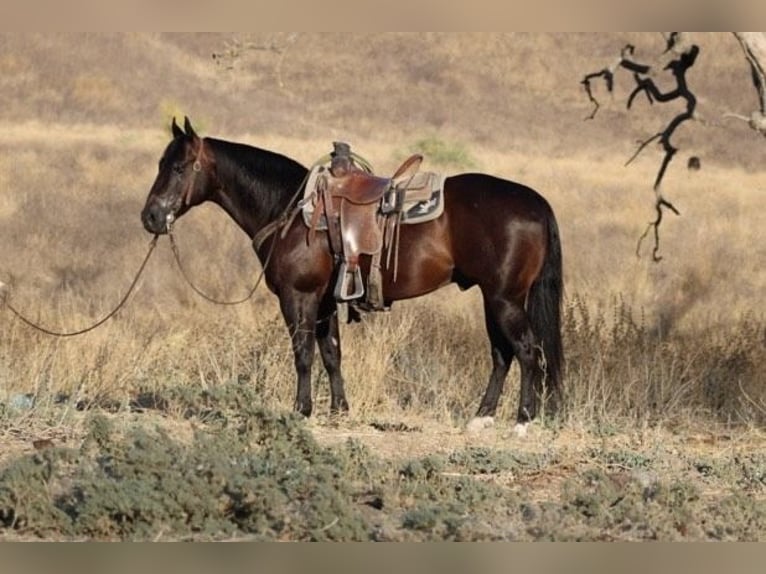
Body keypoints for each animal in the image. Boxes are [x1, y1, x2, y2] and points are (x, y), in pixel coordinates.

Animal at [141, 117, 564, 435]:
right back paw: (482, 417)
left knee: (527, 350)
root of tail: (536, 203)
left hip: (505, 299)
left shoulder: (299, 297)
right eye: (160, 164)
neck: (290, 211)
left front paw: (302, 409)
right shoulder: (326, 303)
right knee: (502, 354)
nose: (150, 216)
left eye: (178, 167)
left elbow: (303, 354)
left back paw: (522, 421)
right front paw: (339, 410)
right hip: (494, 298)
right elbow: (331, 354)